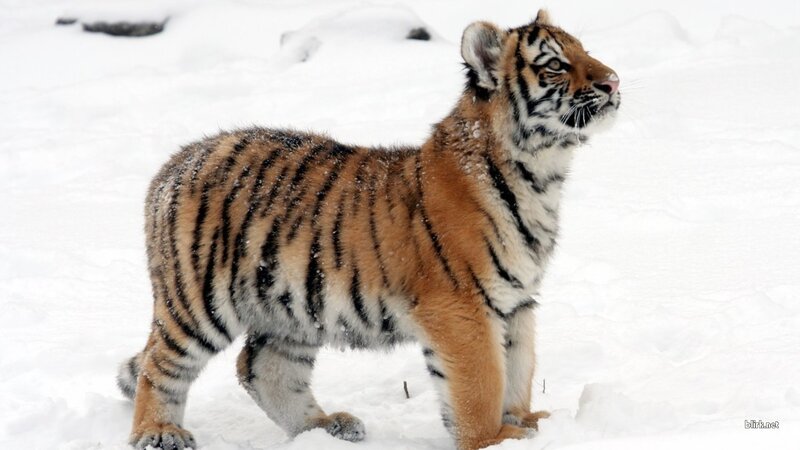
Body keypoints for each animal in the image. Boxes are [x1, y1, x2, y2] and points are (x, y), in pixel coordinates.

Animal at [117, 9, 620, 450]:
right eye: (555, 65)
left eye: (585, 50)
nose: (613, 81)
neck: (542, 174)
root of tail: (175, 162)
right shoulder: (463, 306)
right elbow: (482, 382)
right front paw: (493, 439)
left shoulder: (517, 302)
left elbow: (519, 368)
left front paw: (528, 423)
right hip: (197, 299)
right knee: (160, 365)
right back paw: (158, 433)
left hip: (291, 307)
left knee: (261, 367)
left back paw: (325, 428)